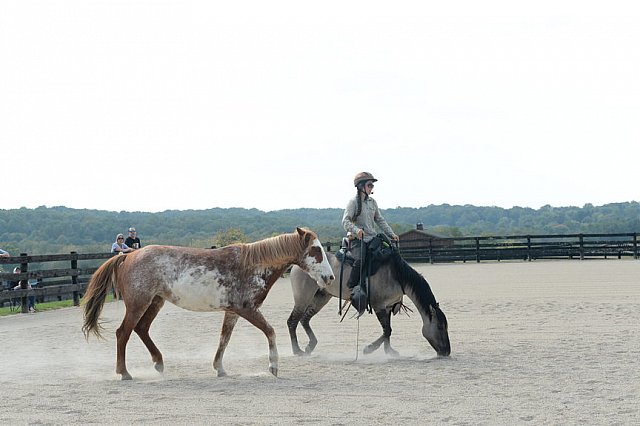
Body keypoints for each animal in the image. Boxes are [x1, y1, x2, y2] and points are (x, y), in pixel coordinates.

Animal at [81, 226, 336, 380]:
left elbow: (224, 339)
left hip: (154, 302)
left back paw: (159, 363)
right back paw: (124, 372)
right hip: (138, 304)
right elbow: (270, 332)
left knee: (141, 329)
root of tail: (128, 256)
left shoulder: (233, 312)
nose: (330, 277)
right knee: (123, 332)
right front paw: (273, 367)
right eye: (316, 250)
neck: (251, 265)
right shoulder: (247, 309)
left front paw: (220, 368)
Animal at [288, 251, 448, 358]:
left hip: (321, 297)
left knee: (305, 319)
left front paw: (390, 352)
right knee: (292, 321)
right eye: (440, 326)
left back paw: (310, 346)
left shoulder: (388, 307)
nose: (447, 352)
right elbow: (387, 330)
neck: (397, 275)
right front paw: (369, 349)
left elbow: (388, 330)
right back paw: (297, 351)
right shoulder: (378, 305)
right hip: (303, 298)